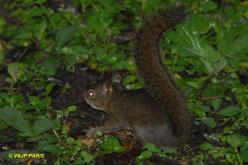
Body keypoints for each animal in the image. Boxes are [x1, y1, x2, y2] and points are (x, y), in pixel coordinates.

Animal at [82, 5, 191, 148]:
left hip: (139, 124)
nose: (83, 96)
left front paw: (93, 130)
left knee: (148, 144)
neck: (115, 97)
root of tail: (173, 140)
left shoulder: (119, 115)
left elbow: (112, 125)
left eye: (91, 93)